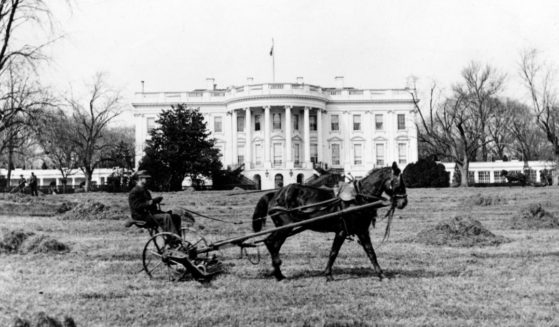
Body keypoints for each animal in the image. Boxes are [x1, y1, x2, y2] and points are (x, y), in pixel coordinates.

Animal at [253, 163, 406, 280]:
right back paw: (278, 272)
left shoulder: (361, 230)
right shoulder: (342, 231)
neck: (358, 197)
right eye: (397, 182)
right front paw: (328, 274)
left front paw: (381, 274)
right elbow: (334, 252)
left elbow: (370, 252)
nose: (404, 202)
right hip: (285, 227)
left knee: (273, 244)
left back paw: (278, 273)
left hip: (284, 228)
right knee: (270, 242)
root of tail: (276, 193)